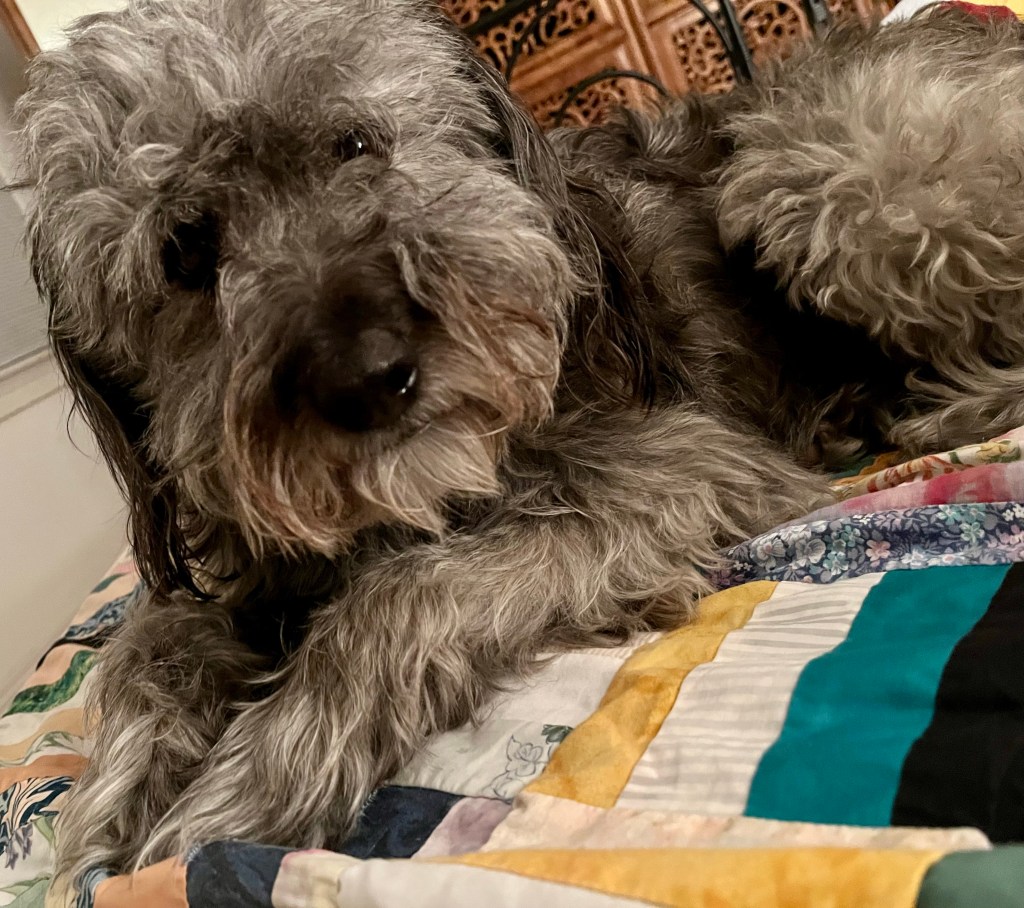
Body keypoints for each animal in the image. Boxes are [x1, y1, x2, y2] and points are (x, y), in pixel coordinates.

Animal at [14, 0, 1024, 886]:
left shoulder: (688, 470)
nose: (369, 375)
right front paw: (117, 796)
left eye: (356, 145)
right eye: (185, 250)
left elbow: (402, 593)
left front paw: (254, 772)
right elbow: (149, 642)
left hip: (820, 162)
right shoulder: (247, 567)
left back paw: (938, 410)